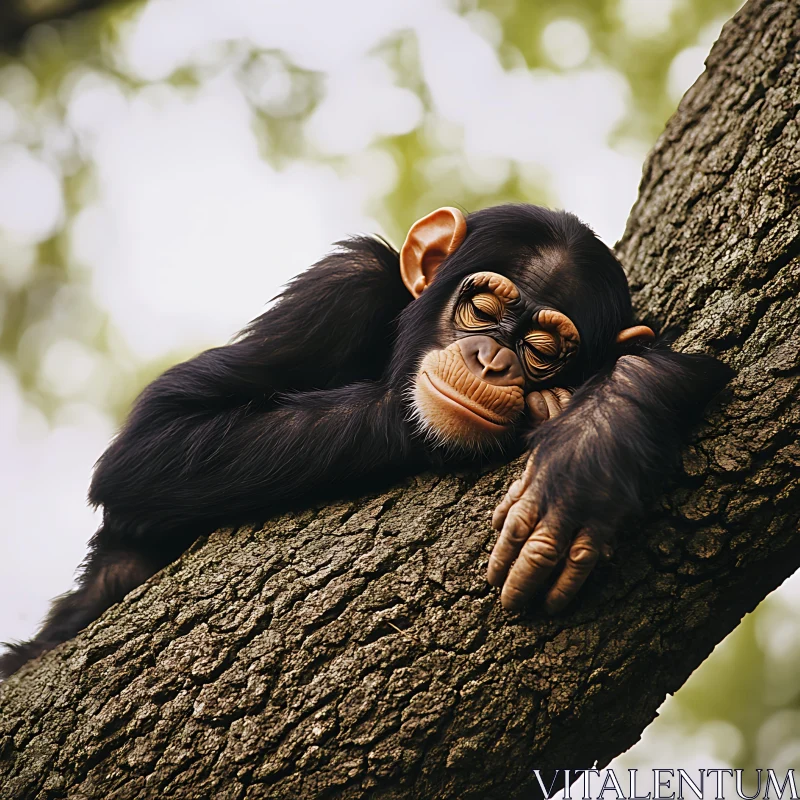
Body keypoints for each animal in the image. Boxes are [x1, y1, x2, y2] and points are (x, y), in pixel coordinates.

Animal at [0, 203, 732, 680]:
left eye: (544, 350)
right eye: (484, 310)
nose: (493, 361)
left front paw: (597, 435)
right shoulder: (340, 287)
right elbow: (149, 445)